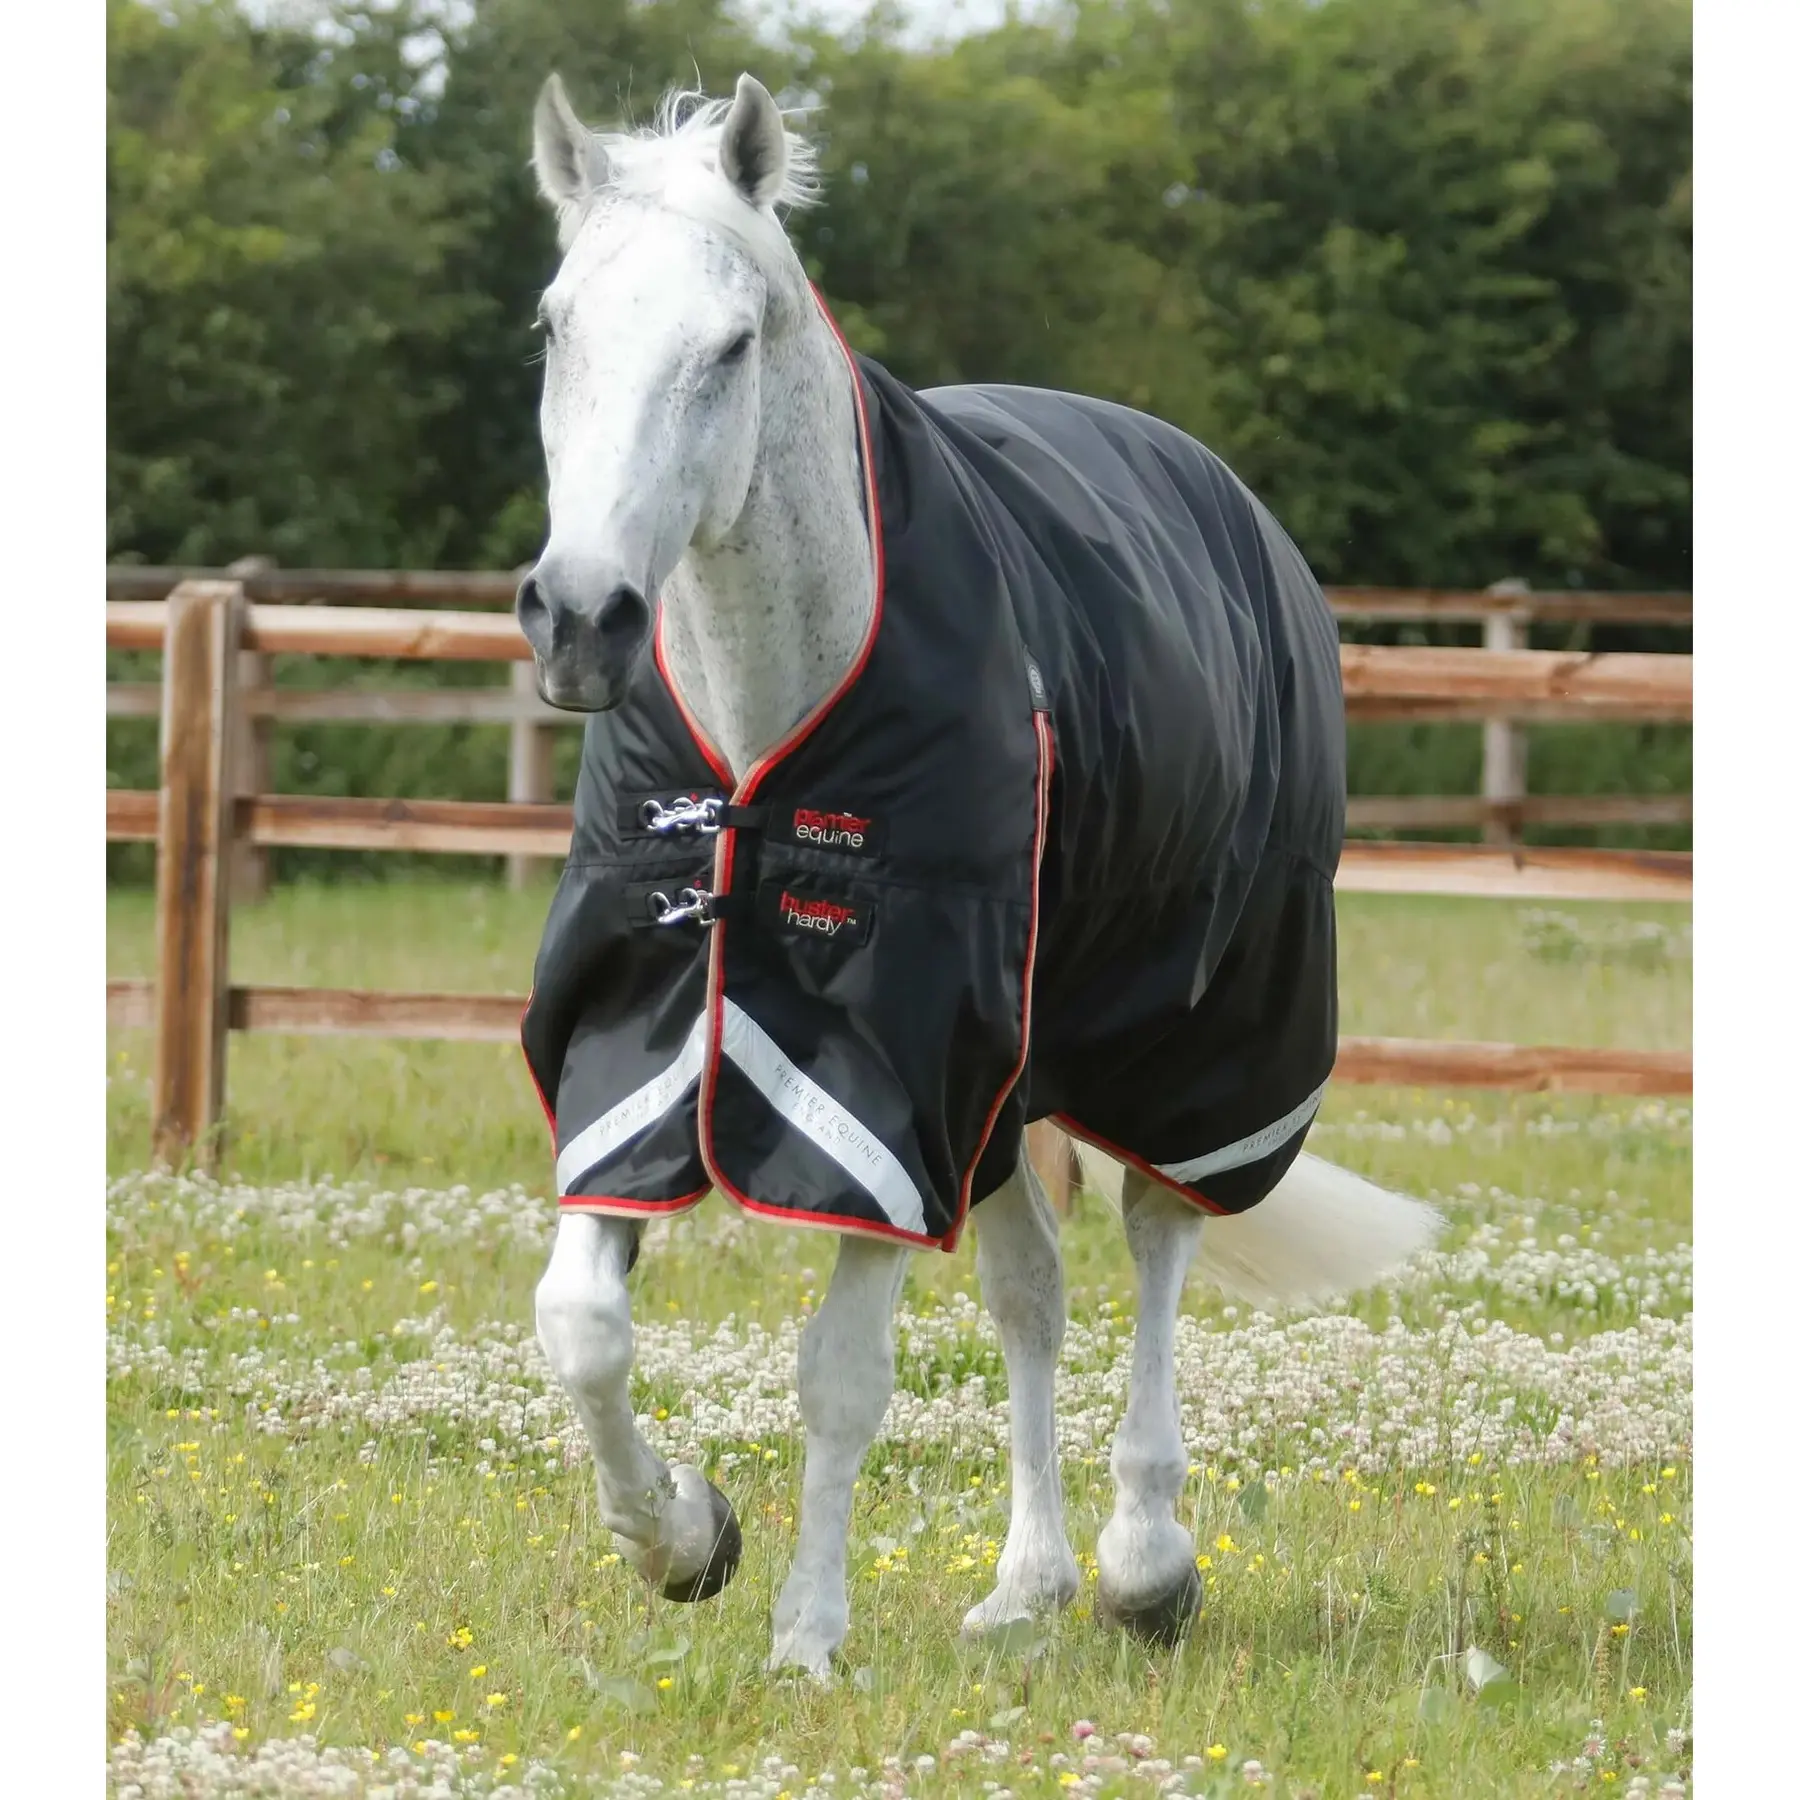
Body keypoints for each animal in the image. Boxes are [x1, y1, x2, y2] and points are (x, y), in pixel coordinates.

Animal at [515, 70, 1442, 1678]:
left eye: (731, 344)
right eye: (559, 326)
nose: (582, 619)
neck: (767, 745)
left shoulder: (889, 1070)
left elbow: (841, 1368)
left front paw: (806, 1636)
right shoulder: (649, 1028)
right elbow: (581, 1321)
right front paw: (685, 1539)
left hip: (1190, 1041)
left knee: (1155, 1241)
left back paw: (1143, 1567)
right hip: (1018, 1075)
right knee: (1034, 1294)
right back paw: (1029, 1584)